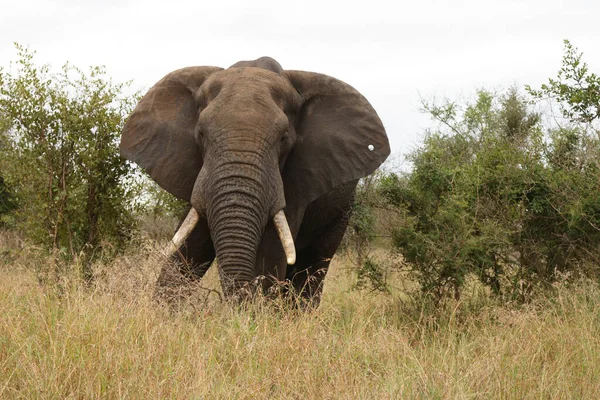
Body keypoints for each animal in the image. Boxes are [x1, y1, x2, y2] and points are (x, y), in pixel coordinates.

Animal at [120, 56, 392, 304]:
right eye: (200, 134)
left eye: (284, 139)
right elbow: (188, 247)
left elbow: (270, 255)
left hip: (342, 210)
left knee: (312, 266)